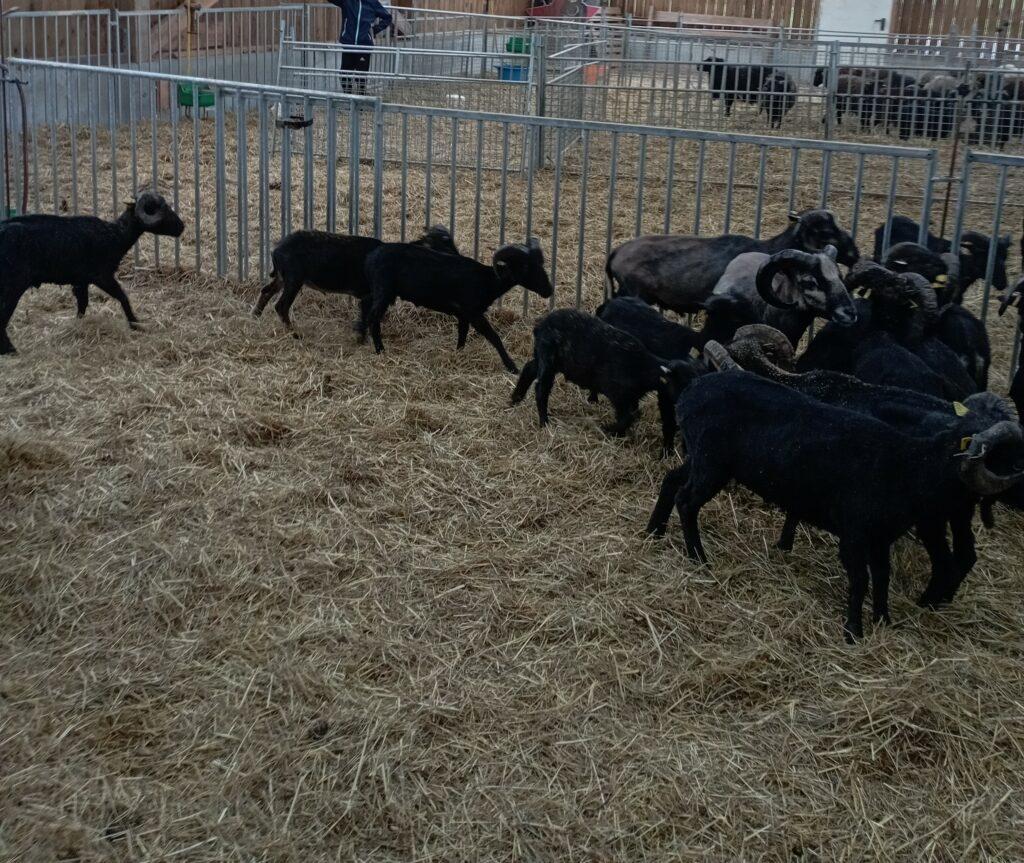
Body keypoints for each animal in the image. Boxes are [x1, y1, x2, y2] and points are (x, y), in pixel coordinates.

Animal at [1, 194, 184, 356]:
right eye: (161, 210)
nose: (182, 227)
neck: (115, 235)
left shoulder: (80, 281)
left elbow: (82, 304)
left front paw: (78, 325)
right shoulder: (102, 276)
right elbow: (122, 297)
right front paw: (135, 323)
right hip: (13, 284)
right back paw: (11, 350)